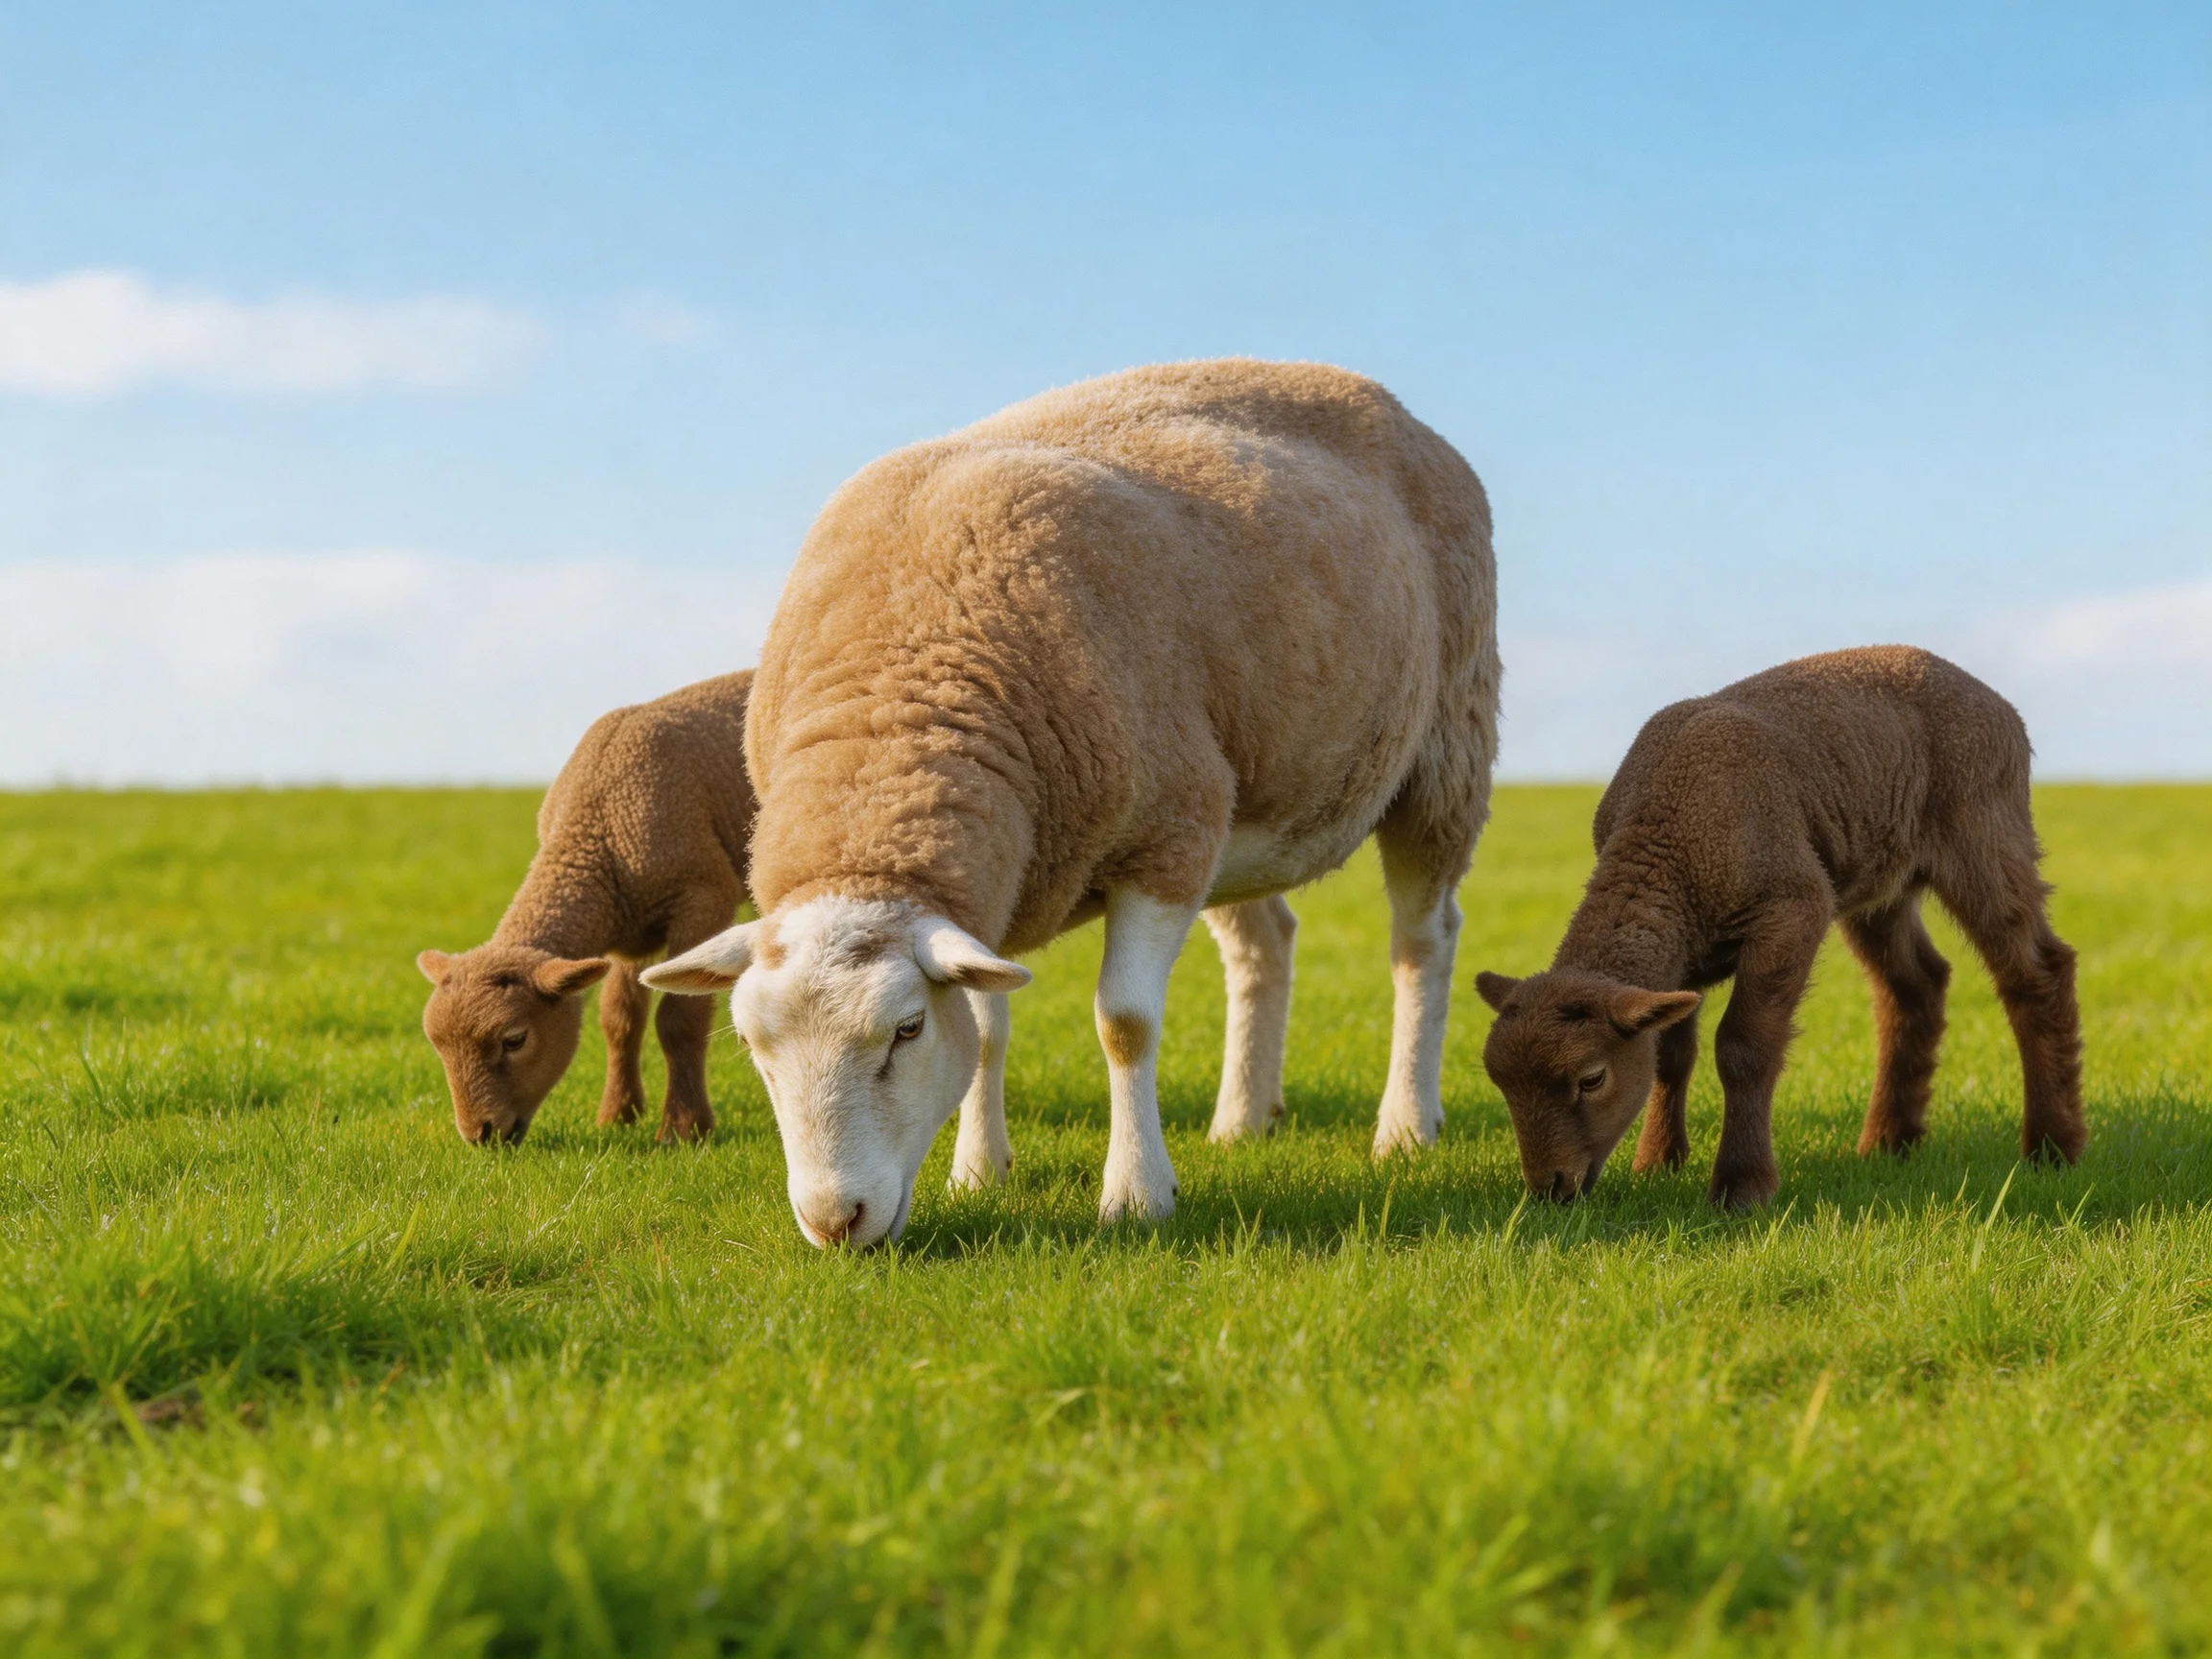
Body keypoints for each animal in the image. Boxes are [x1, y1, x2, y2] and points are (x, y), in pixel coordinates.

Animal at [416, 671, 758, 1145]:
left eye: (515, 1039)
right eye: (437, 1045)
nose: (480, 1134)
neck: (595, 834)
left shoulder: (702, 894)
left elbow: (679, 1020)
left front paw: (683, 1129)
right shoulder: (628, 927)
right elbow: (619, 1019)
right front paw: (617, 1114)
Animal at [643, 358, 1499, 1247]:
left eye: (906, 1030)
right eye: (751, 1044)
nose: (836, 1221)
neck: (891, 722)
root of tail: (1375, 396)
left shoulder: (1164, 839)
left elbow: (1125, 1025)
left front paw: (1138, 1194)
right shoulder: (1007, 886)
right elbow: (988, 1031)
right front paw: (978, 1172)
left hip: (1444, 748)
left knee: (1423, 941)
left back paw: (1406, 1125)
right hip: (1239, 802)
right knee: (1265, 943)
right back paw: (1242, 1119)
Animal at [1475, 646, 2085, 1210]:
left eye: (1592, 1079)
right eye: (1501, 1086)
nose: (1550, 1188)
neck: (1663, 849)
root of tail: (1999, 706)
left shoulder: (1791, 909)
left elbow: (1743, 1047)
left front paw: (1742, 1188)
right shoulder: (1679, 961)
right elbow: (1671, 1054)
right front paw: (1657, 1163)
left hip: (1984, 827)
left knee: (2036, 972)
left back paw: (2053, 1147)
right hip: (1874, 875)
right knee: (1917, 984)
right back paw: (1890, 1141)